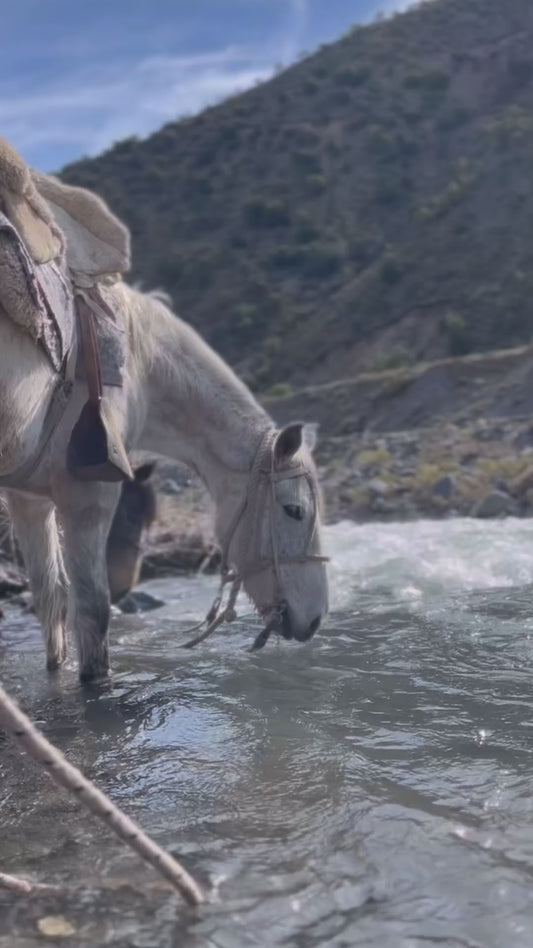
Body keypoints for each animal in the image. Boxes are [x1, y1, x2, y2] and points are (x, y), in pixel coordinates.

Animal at [0, 286, 326, 676]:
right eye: (294, 510)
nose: (315, 620)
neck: (138, 364)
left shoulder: (29, 501)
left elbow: (51, 603)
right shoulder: (87, 494)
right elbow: (93, 614)